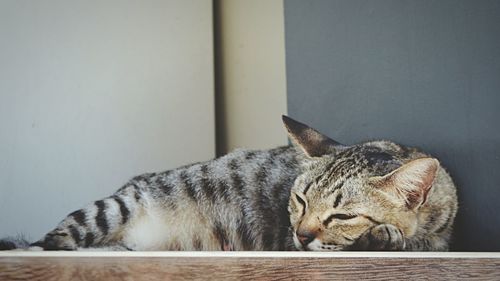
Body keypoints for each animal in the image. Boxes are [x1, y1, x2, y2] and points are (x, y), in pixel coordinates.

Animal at [1, 115, 458, 250]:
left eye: (342, 215)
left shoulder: (440, 237)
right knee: (49, 243)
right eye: (298, 200)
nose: (300, 234)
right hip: (111, 208)